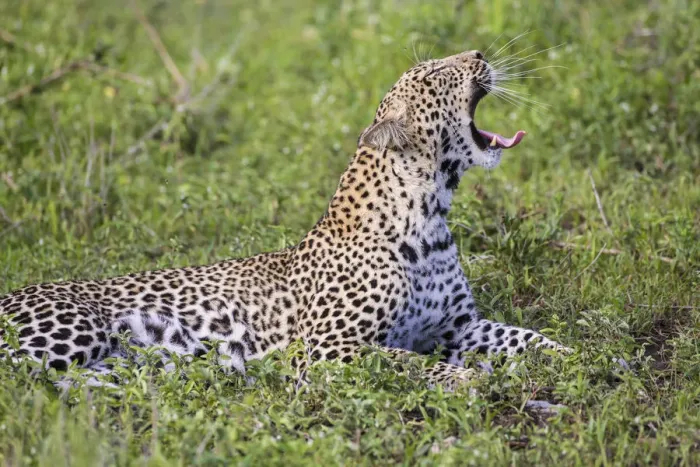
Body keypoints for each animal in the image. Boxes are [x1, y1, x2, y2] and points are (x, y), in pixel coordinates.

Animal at [0, 49, 569, 390]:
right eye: (434, 75)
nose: (479, 53)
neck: (430, 218)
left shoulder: (458, 326)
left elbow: (524, 336)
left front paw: (570, 355)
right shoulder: (323, 349)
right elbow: (405, 360)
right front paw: (467, 380)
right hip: (72, 333)